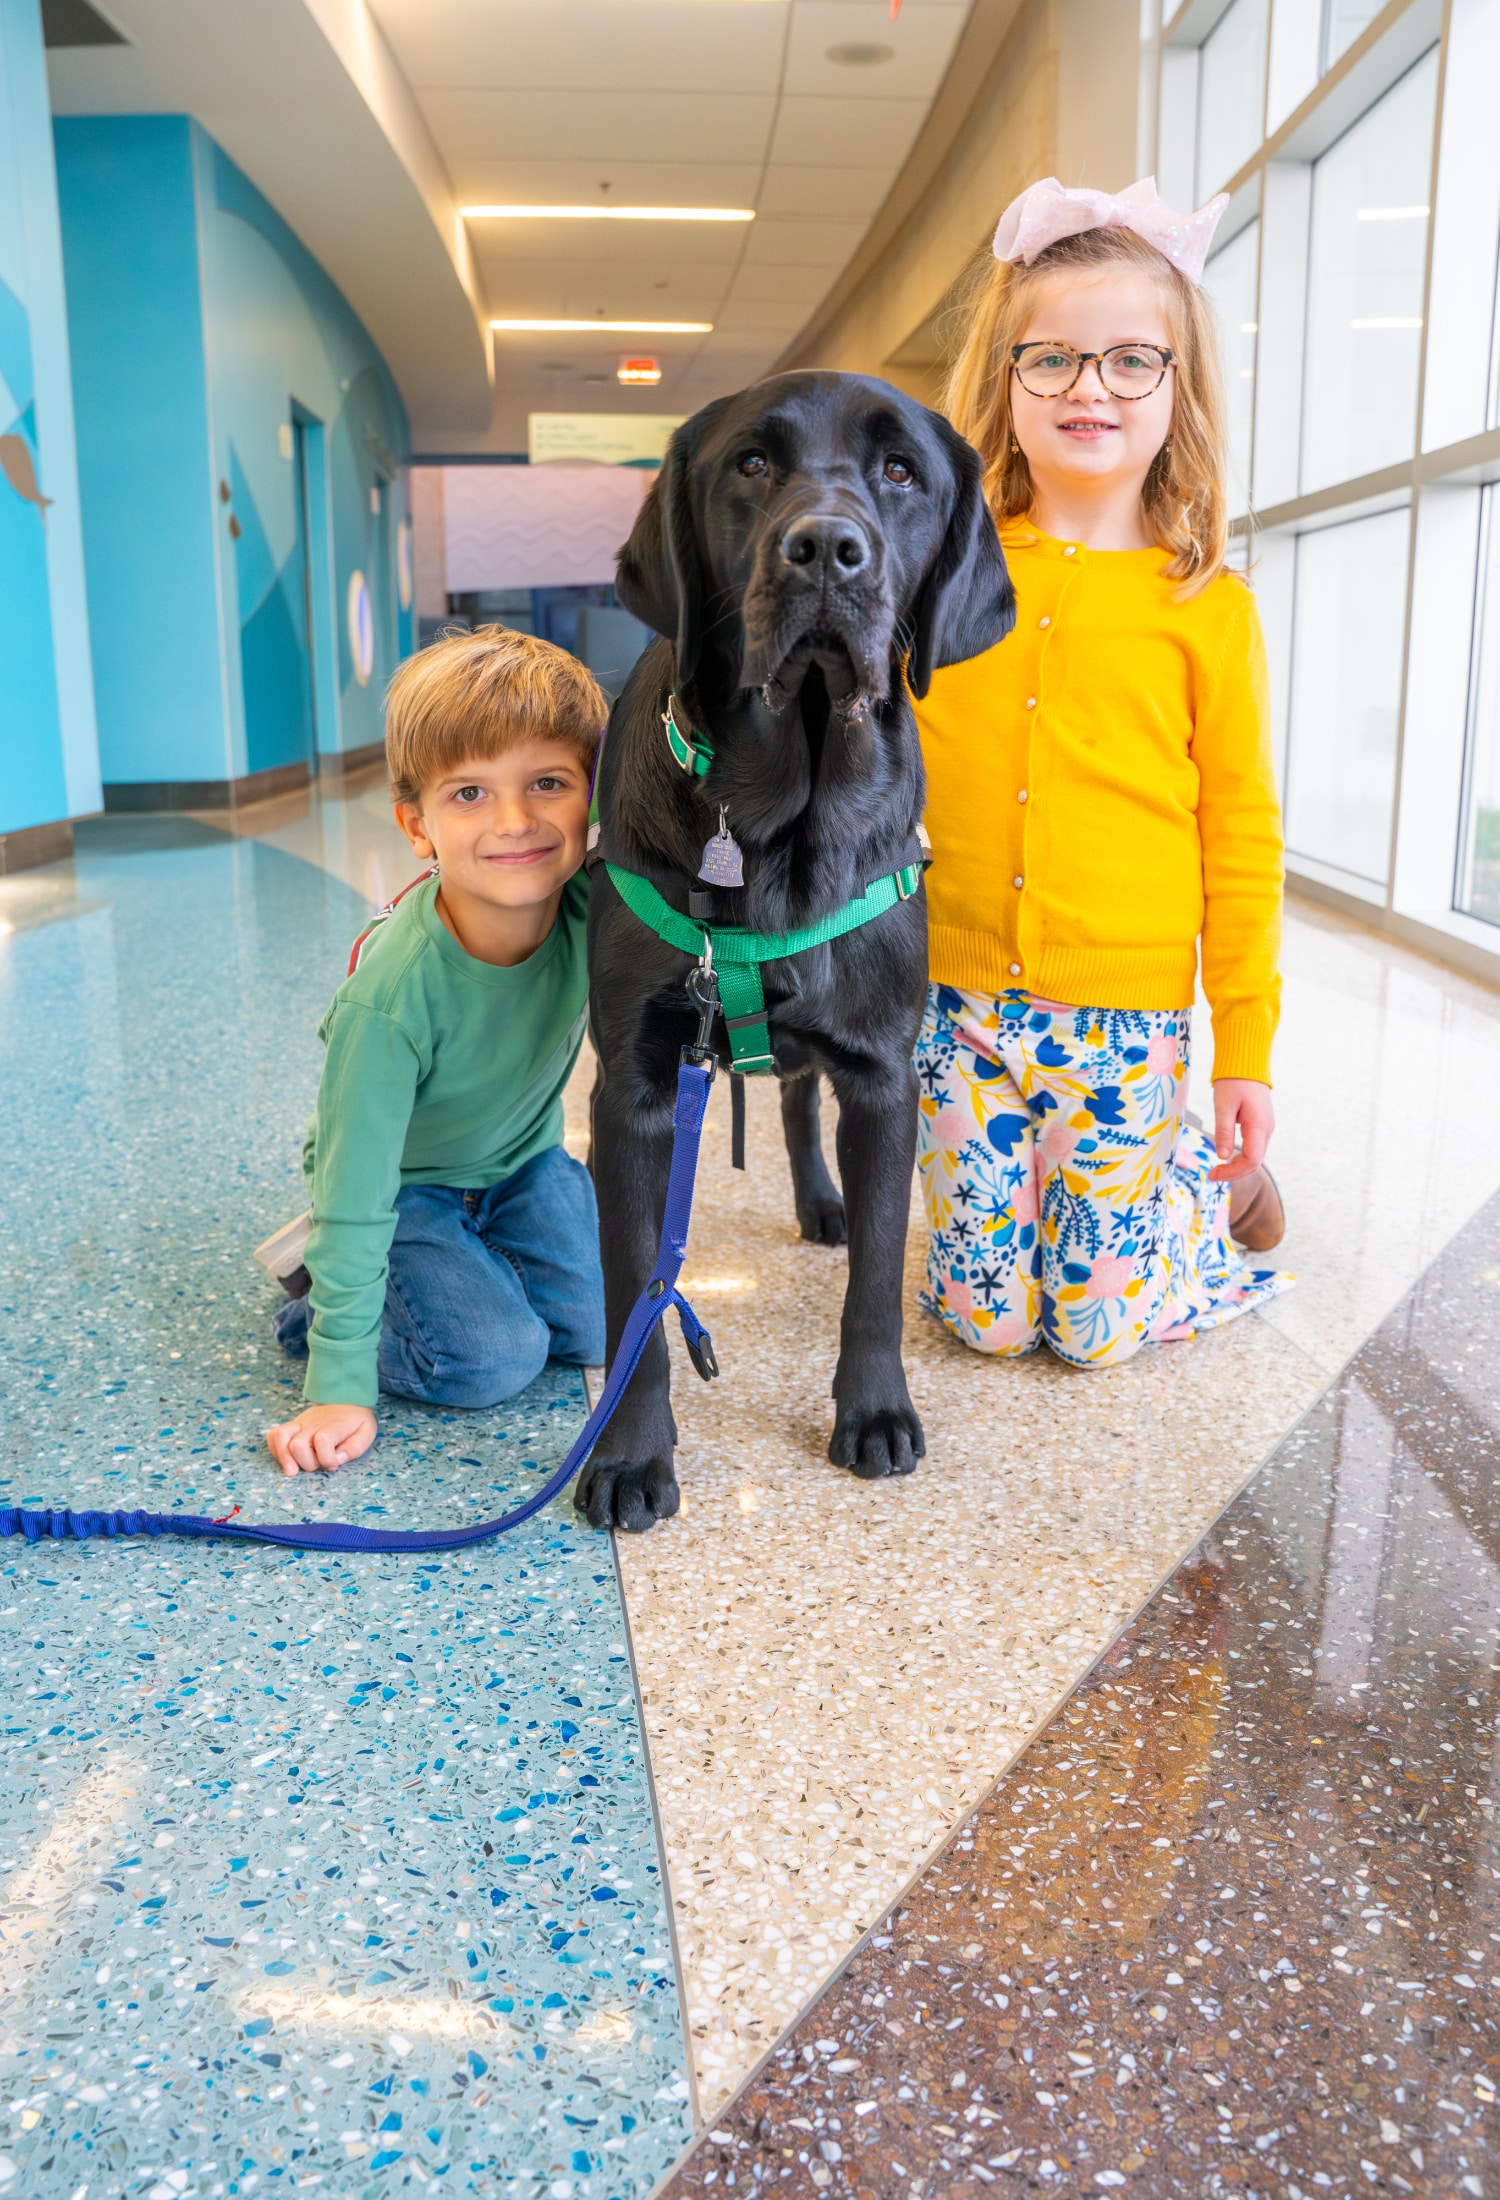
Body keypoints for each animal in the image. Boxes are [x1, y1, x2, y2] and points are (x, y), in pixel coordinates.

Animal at [576, 374, 1011, 1531]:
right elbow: (636, 1287)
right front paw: (629, 1454)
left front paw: (875, 1411)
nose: (825, 550)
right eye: (752, 465)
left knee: (798, 1097)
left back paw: (822, 1201)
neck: (781, 819)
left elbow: (877, 1276)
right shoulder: (635, 1086)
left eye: (902, 471)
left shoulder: (884, 1071)